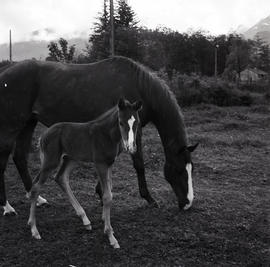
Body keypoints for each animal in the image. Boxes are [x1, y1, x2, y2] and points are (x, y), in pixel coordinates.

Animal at [0, 56, 198, 216]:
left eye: (191, 170)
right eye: (179, 170)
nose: (188, 203)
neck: (138, 87)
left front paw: (101, 194)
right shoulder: (131, 131)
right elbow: (139, 165)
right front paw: (149, 198)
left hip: (28, 123)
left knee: (20, 157)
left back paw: (37, 198)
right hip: (11, 126)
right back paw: (7, 207)